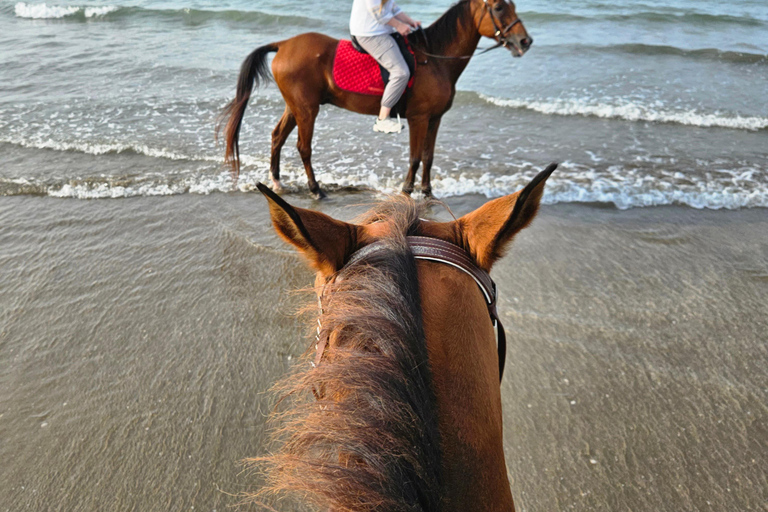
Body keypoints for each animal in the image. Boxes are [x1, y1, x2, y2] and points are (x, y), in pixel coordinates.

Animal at [216, 0, 528, 198]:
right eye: (499, 6)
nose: (525, 41)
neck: (435, 58)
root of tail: (283, 44)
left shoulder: (435, 119)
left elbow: (428, 157)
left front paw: (428, 192)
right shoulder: (418, 118)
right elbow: (415, 156)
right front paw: (407, 190)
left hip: (295, 106)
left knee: (277, 136)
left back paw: (278, 183)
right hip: (307, 110)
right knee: (303, 147)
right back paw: (316, 190)